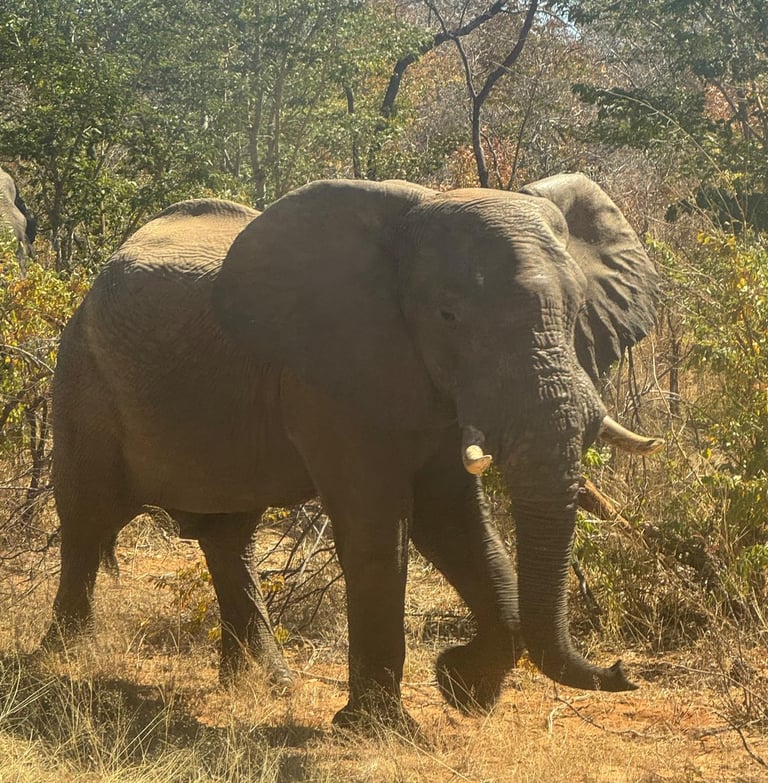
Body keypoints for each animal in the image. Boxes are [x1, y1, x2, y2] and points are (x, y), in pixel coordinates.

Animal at [45, 174, 662, 730]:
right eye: (448, 316)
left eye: (577, 310)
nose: (622, 670)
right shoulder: (328, 376)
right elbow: (378, 530)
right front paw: (378, 726)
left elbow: (455, 523)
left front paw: (464, 689)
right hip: (82, 375)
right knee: (86, 517)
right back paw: (68, 659)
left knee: (228, 538)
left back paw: (265, 682)